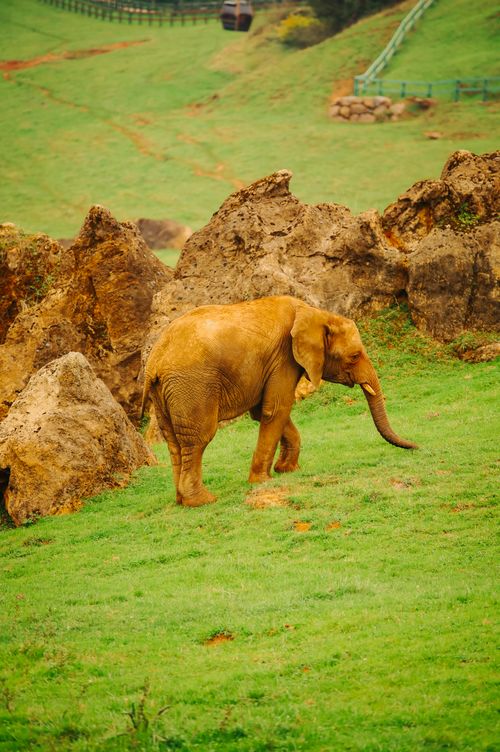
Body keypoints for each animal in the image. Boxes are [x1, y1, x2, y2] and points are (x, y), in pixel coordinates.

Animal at [141, 295, 416, 507]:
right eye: (355, 356)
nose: (416, 446)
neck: (314, 313)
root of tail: (154, 361)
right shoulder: (283, 357)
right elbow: (276, 409)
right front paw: (263, 481)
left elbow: (265, 412)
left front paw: (288, 470)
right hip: (193, 386)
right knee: (198, 438)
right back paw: (202, 501)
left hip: (165, 393)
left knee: (174, 442)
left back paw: (180, 500)